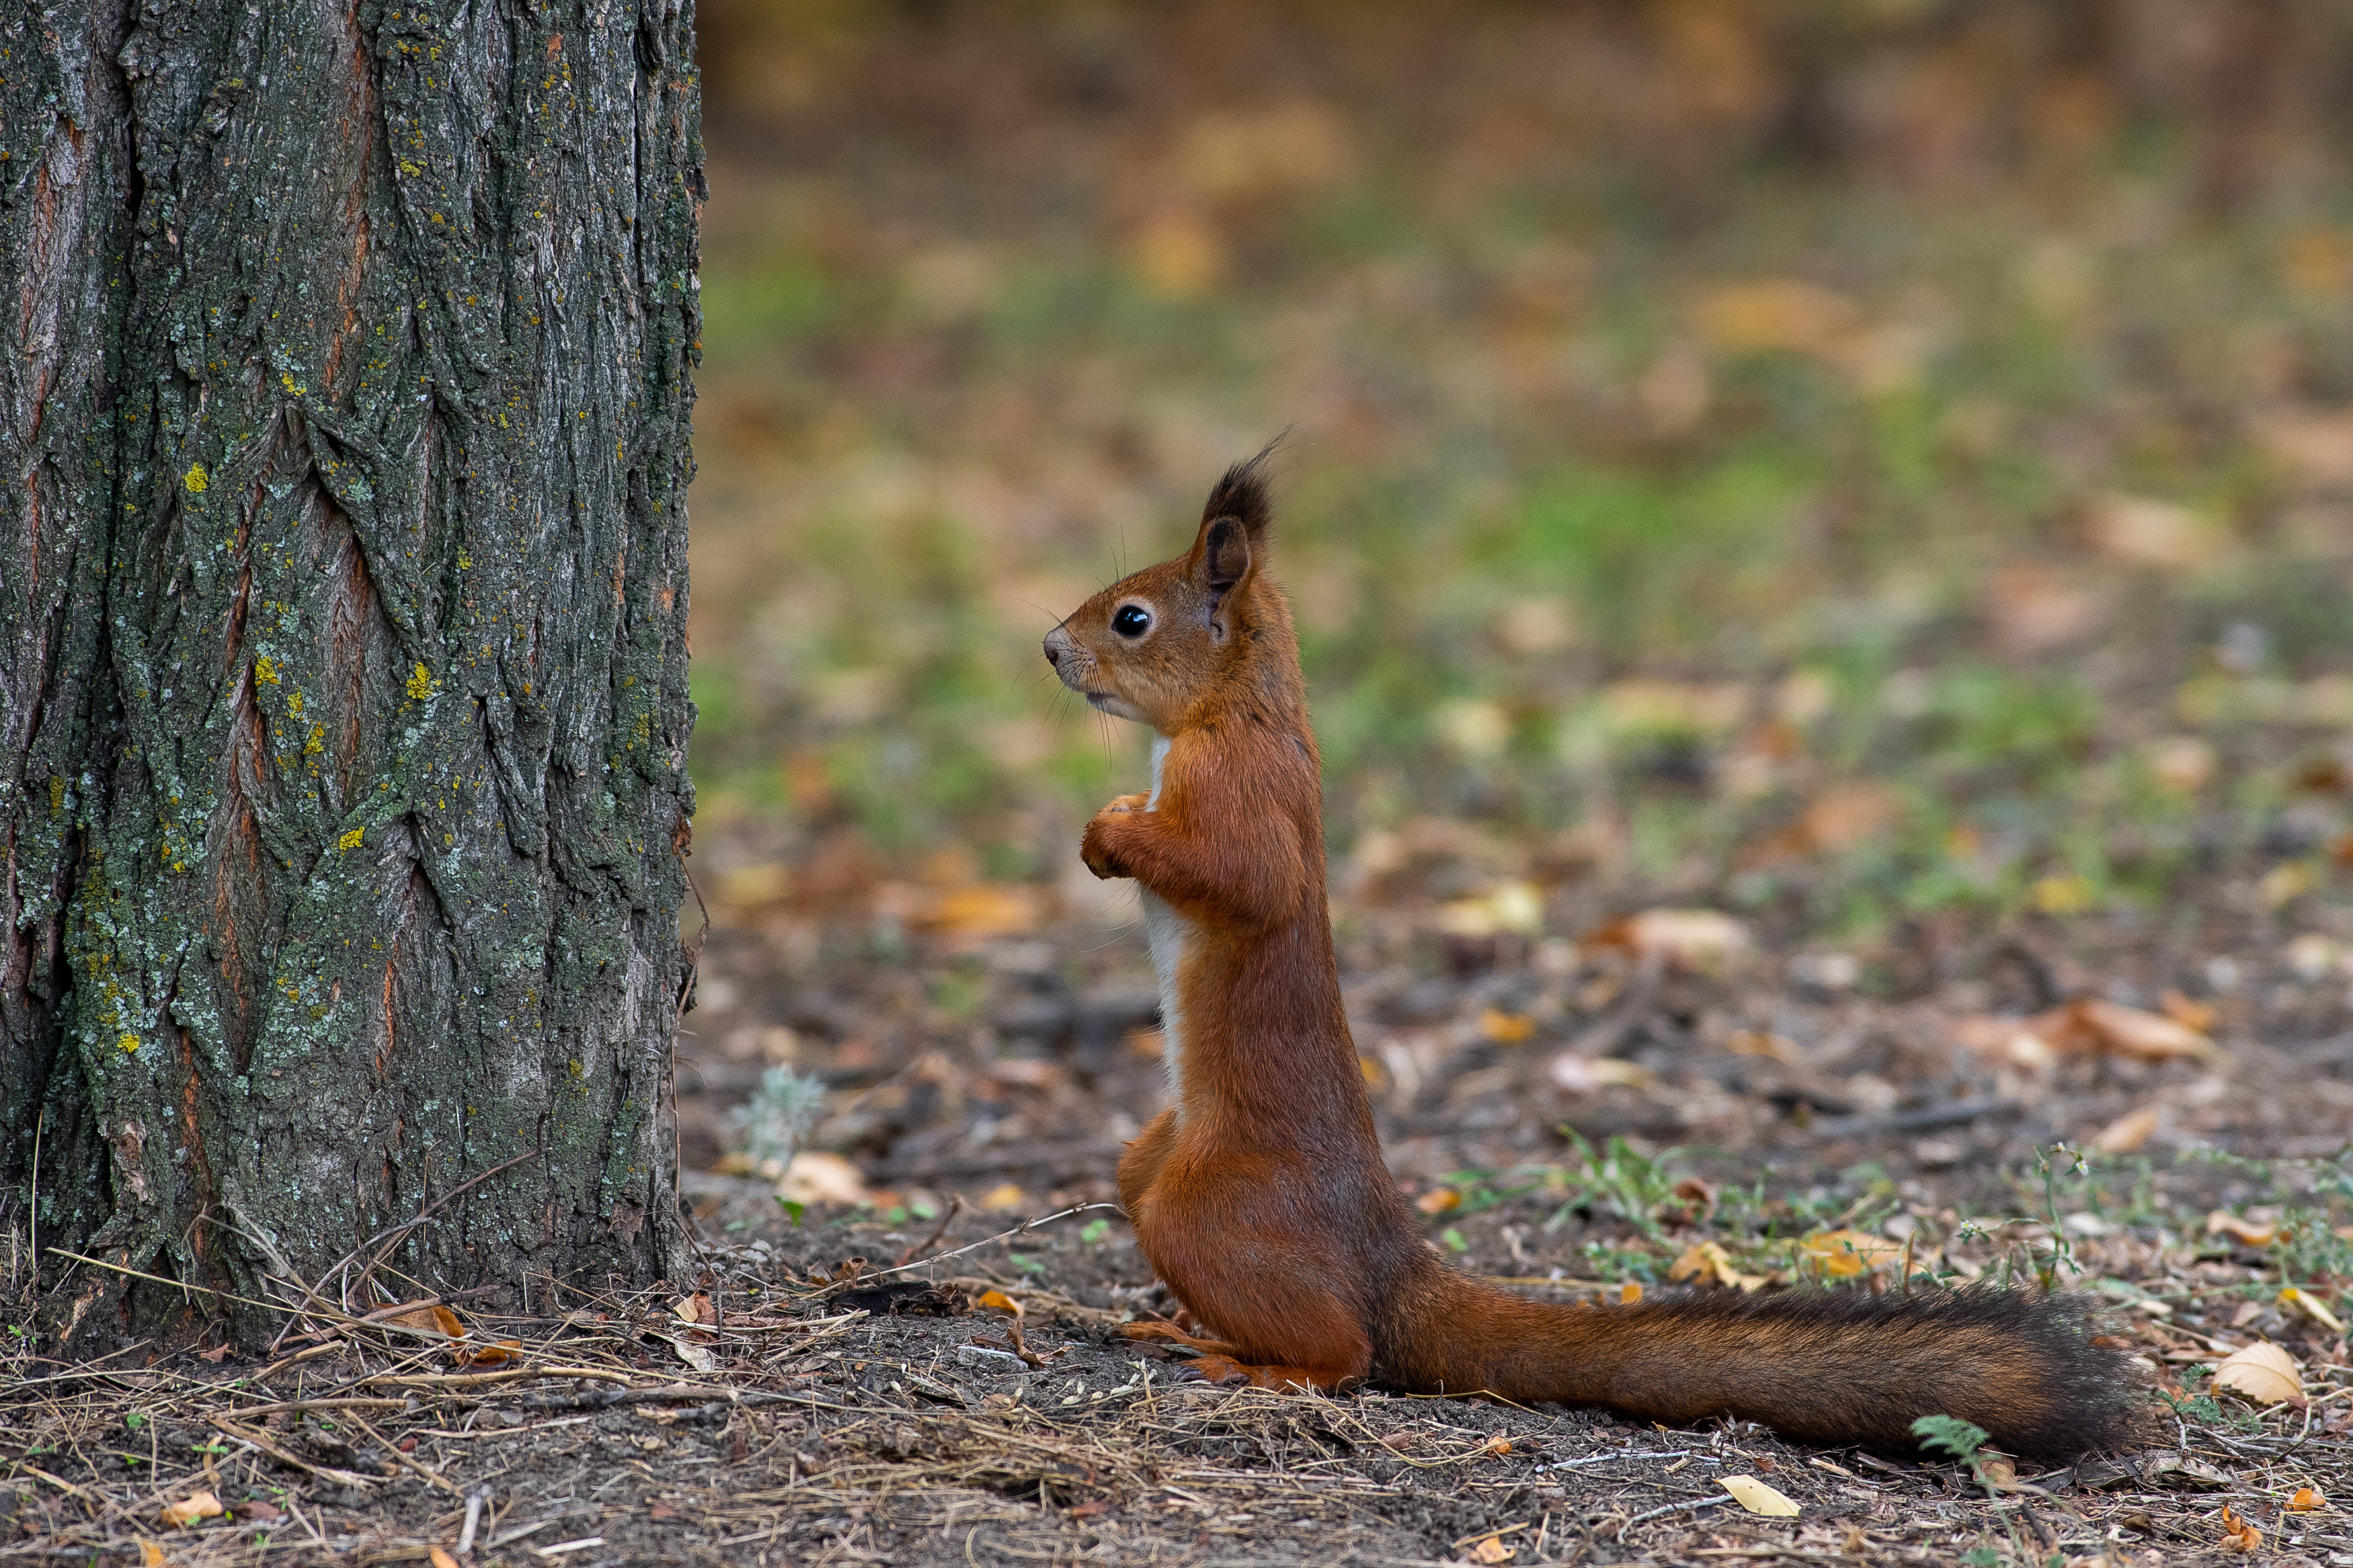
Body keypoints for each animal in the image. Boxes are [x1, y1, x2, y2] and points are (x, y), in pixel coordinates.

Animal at [1049, 451, 2137, 1457]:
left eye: (1133, 618)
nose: (1052, 647)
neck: (1234, 708)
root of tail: (1391, 1262)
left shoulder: (1244, 789)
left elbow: (1243, 876)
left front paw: (1110, 834)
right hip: (1150, 1163)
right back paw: (1177, 1323)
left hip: (1205, 1207)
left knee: (1346, 1352)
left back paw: (1251, 1363)